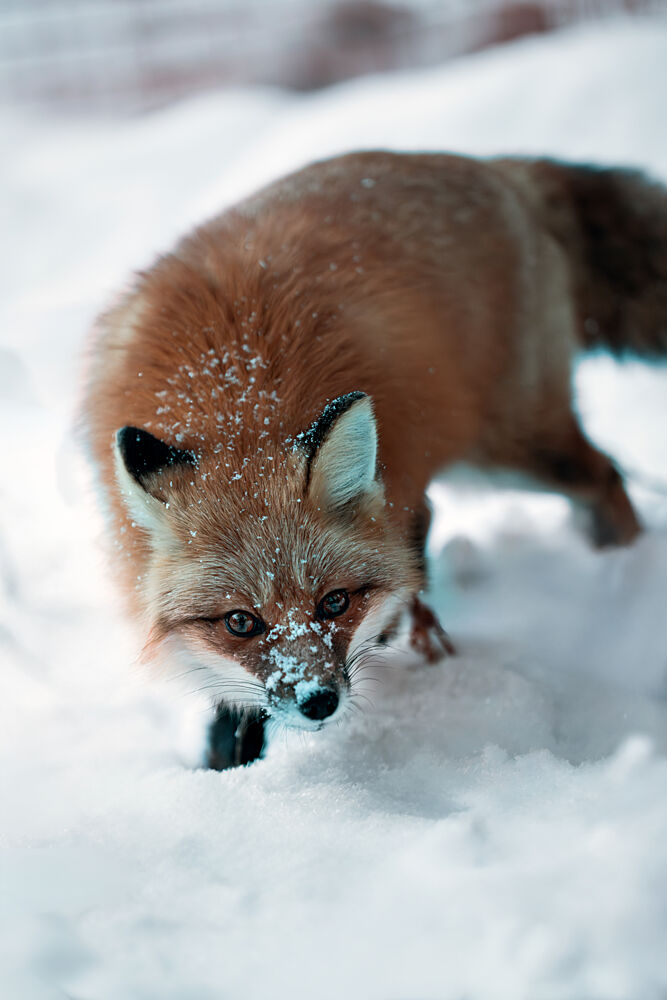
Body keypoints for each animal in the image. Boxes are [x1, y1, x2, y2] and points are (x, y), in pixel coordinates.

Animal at [82, 151, 667, 769]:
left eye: (334, 602)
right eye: (241, 621)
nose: (318, 701)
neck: (234, 391)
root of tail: (492, 166)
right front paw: (229, 760)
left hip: (513, 450)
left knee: (606, 474)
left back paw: (627, 582)